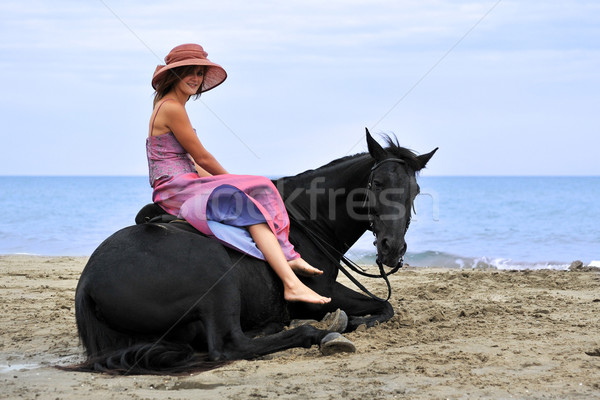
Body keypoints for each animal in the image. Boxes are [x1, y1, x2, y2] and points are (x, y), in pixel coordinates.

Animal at [71, 130, 436, 374]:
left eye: (415, 190)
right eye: (376, 184)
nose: (392, 249)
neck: (306, 220)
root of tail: (88, 284)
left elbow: (385, 306)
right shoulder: (319, 292)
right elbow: (384, 307)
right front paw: (352, 322)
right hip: (217, 279)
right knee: (231, 346)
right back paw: (320, 333)